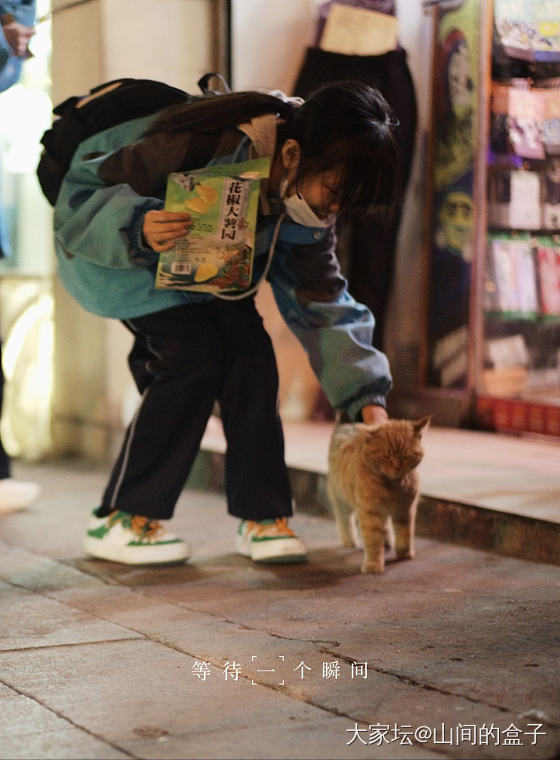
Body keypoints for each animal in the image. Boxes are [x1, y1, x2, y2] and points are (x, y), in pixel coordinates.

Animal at [328, 418, 428, 572]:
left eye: (405, 456)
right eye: (386, 456)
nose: (397, 467)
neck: (393, 485)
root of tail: (345, 423)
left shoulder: (405, 510)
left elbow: (405, 534)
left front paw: (404, 553)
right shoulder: (369, 512)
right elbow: (373, 540)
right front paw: (373, 563)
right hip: (341, 499)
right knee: (344, 519)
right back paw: (349, 540)